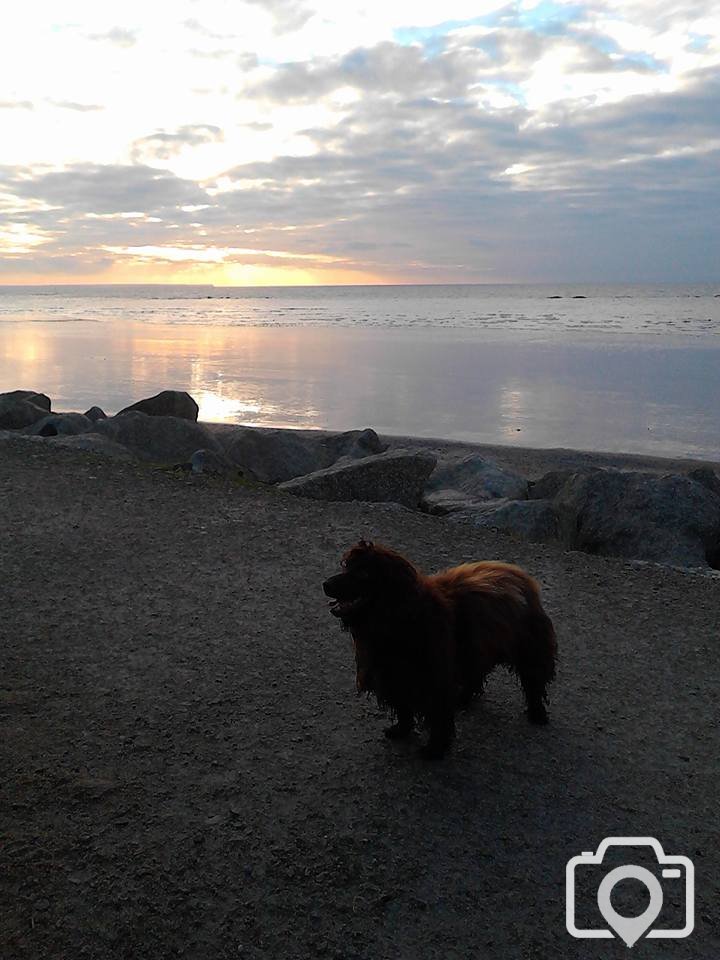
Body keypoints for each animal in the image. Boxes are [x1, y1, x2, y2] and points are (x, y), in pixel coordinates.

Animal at [324, 540, 560, 756]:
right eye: (346, 567)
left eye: (363, 573)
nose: (325, 584)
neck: (401, 619)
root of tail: (518, 573)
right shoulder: (394, 677)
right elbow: (403, 708)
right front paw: (401, 730)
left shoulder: (433, 679)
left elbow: (437, 717)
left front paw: (434, 749)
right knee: (475, 675)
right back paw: (462, 699)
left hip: (528, 650)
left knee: (533, 683)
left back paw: (537, 714)